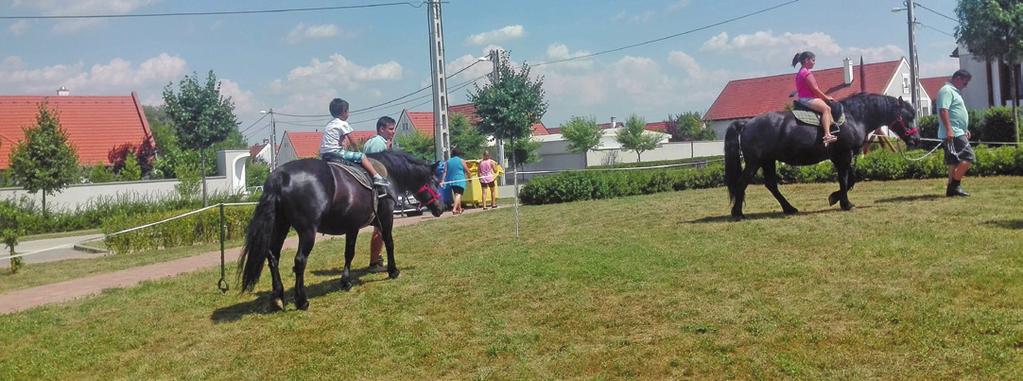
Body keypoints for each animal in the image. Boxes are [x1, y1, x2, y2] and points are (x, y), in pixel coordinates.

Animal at [241, 150, 450, 311]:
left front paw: (346, 281)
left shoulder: (353, 226)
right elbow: (389, 242)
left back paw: (278, 297)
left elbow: (349, 252)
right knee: (299, 261)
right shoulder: (385, 217)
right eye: (434, 180)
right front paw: (393, 270)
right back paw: (302, 301)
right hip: (307, 231)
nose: (441, 207)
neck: (387, 173)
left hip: (281, 226)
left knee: (273, 257)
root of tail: (280, 175)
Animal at [724, 93, 924, 220]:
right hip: (754, 162)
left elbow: (850, 179)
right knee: (742, 183)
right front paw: (844, 202)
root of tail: (747, 123)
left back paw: (789, 208)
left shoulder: (842, 156)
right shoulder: (843, 155)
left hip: (768, 161)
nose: (916, 139)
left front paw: (837, 198)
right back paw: (738, 213)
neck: (853, 116)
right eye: (908, 116)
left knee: (771, 185)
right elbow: (845, 180)